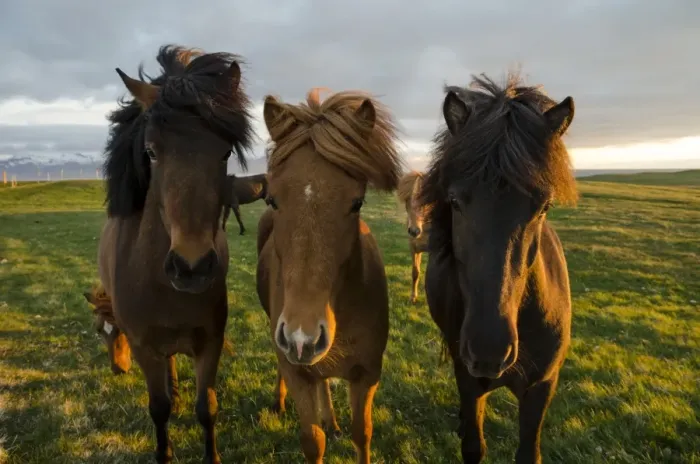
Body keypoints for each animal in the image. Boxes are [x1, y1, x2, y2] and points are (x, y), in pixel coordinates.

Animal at [100, 45, 255, 463]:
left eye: (225, 152)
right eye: (151, 152)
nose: (191, 267)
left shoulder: (210, 341)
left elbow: (208, 408)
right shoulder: (143, 348)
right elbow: (159, 408)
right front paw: (164, 452)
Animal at [255, 88, 402, 463]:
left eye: (356, 203)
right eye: (272, 199)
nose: (301, 337)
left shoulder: (367, 375)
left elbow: (362, 434)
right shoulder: (297, 371)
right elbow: (313, 441)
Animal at [420, 72, 578, 464]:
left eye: (544, 206)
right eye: (455, 202)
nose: (489, 349)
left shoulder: (541, 388)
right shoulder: (470, 381)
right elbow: (474, 447)